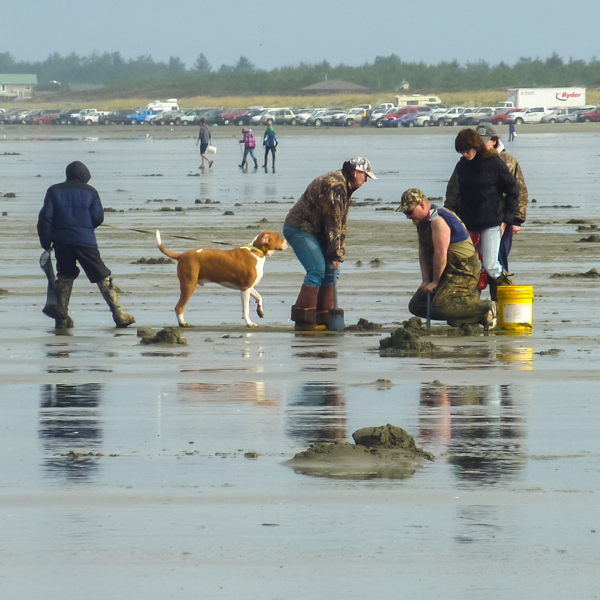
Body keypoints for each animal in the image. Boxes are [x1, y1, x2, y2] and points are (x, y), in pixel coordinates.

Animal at [156, 230, 288, 327]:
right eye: (278, 237)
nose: (287, 241)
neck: (255, 252)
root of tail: (181, 255)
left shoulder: (248, 286)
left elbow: (259, 297)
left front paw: (260, 311)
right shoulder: (245, 288)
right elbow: (246, 309)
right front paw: (249, 323)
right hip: (189, 285)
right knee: (179, 307)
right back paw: (183, 323)